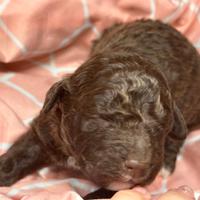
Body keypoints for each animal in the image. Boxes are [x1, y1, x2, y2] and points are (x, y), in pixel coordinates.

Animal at [0, 19, 200, 197]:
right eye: (103, 118)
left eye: (161, 127)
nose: (139, 166)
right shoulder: (48, 126)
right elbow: (24, 151)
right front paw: (3, 171)